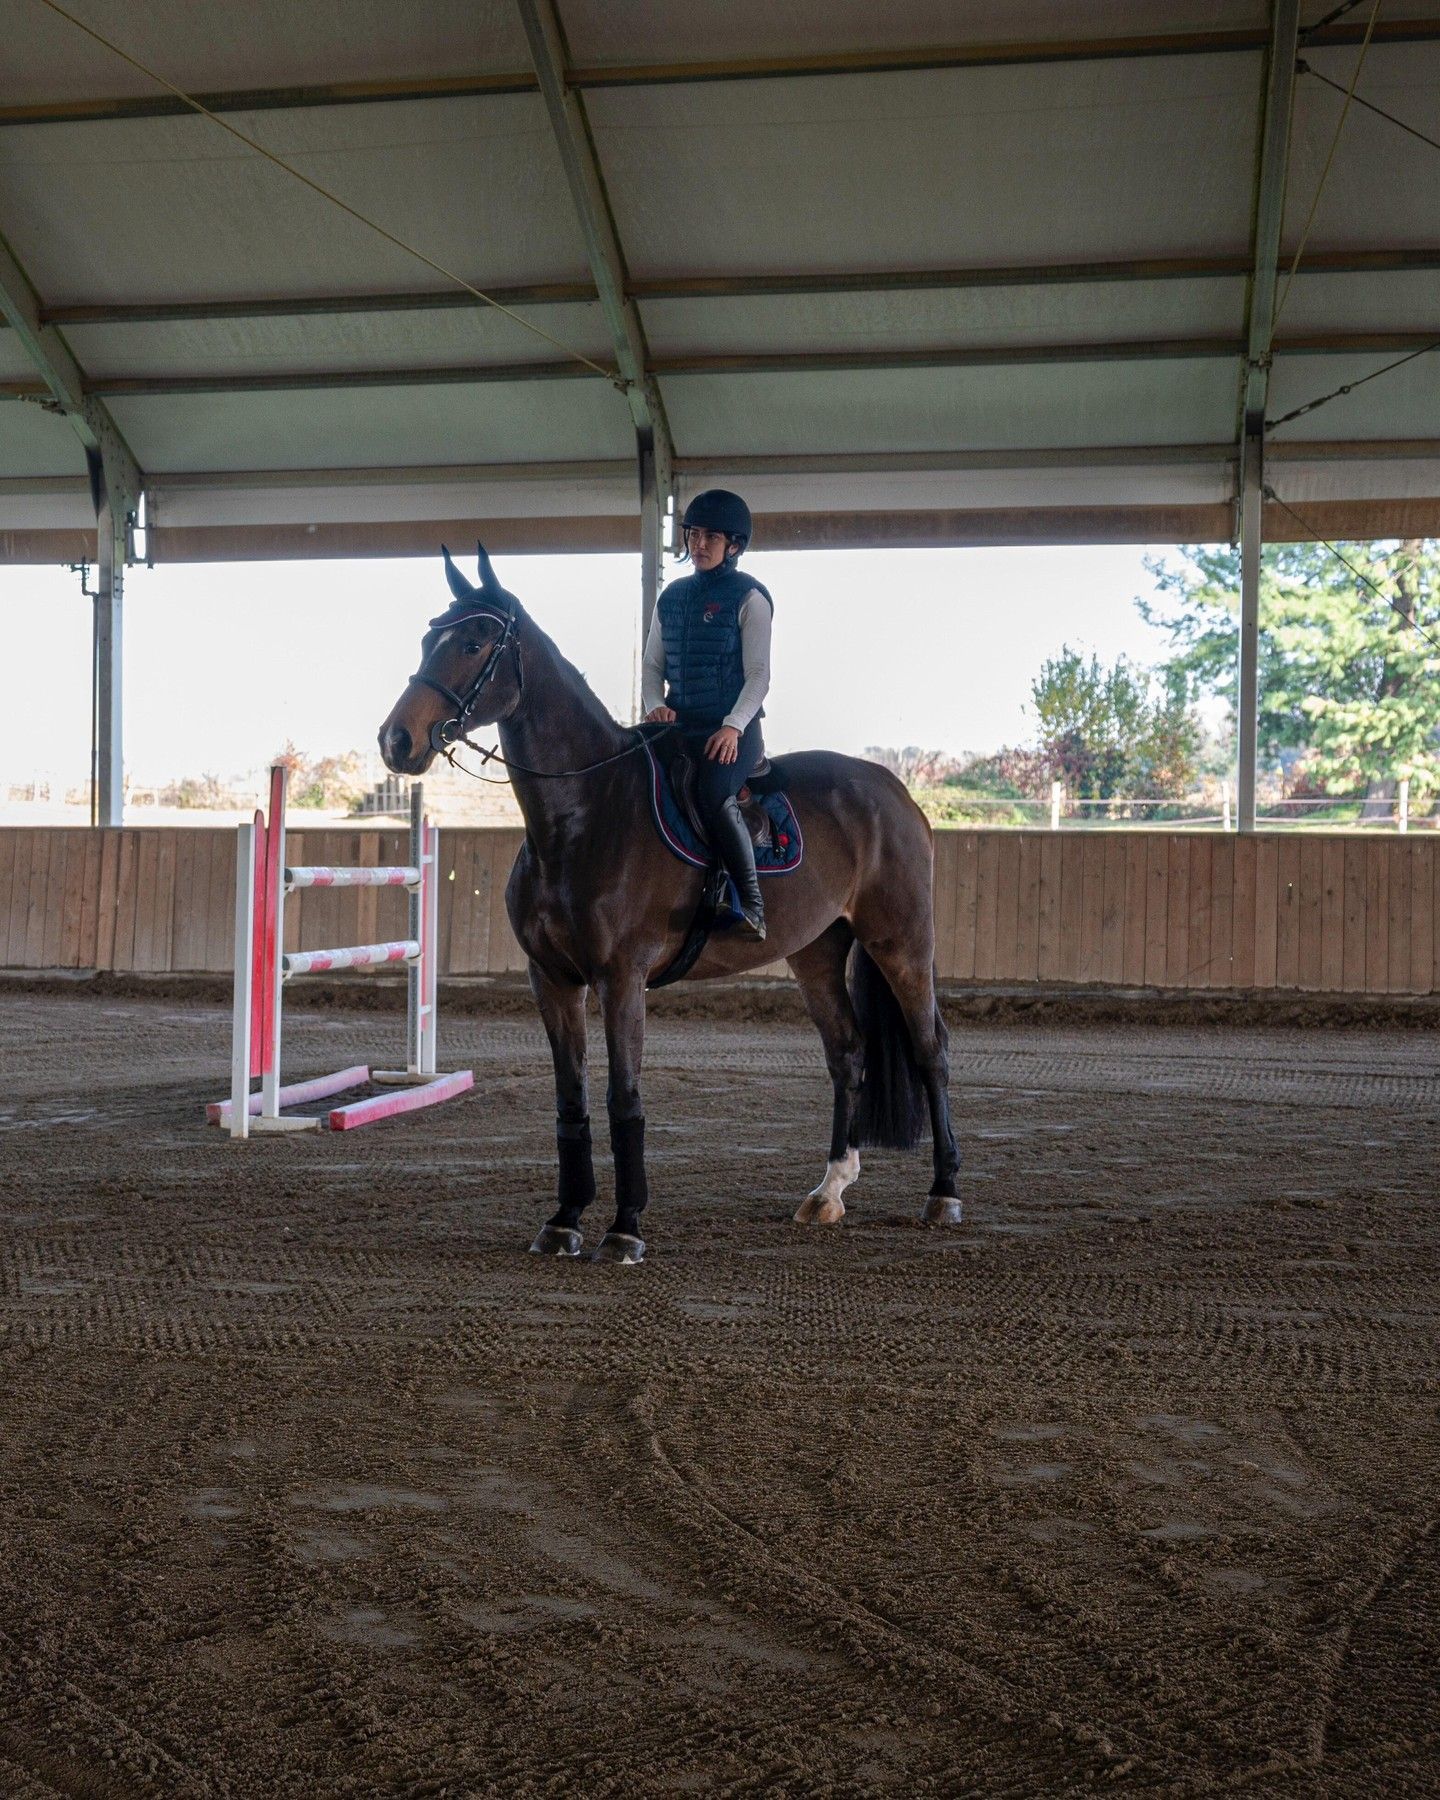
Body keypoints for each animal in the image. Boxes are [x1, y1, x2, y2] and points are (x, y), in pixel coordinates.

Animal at [377, 545, 961, 1263]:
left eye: (473, 642)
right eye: (428, 638)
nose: (397, 741)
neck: (583, 813)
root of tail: (892, 789)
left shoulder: (621, 977)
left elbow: (622, 1096)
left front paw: (625, 1227)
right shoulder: (553, 979)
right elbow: (571, 1097)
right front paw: (565, 1219)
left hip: (899, 941)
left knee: (929, 1049)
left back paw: (943, 1193)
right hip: (818, 952)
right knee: (847, 1052)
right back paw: (829, 1191)